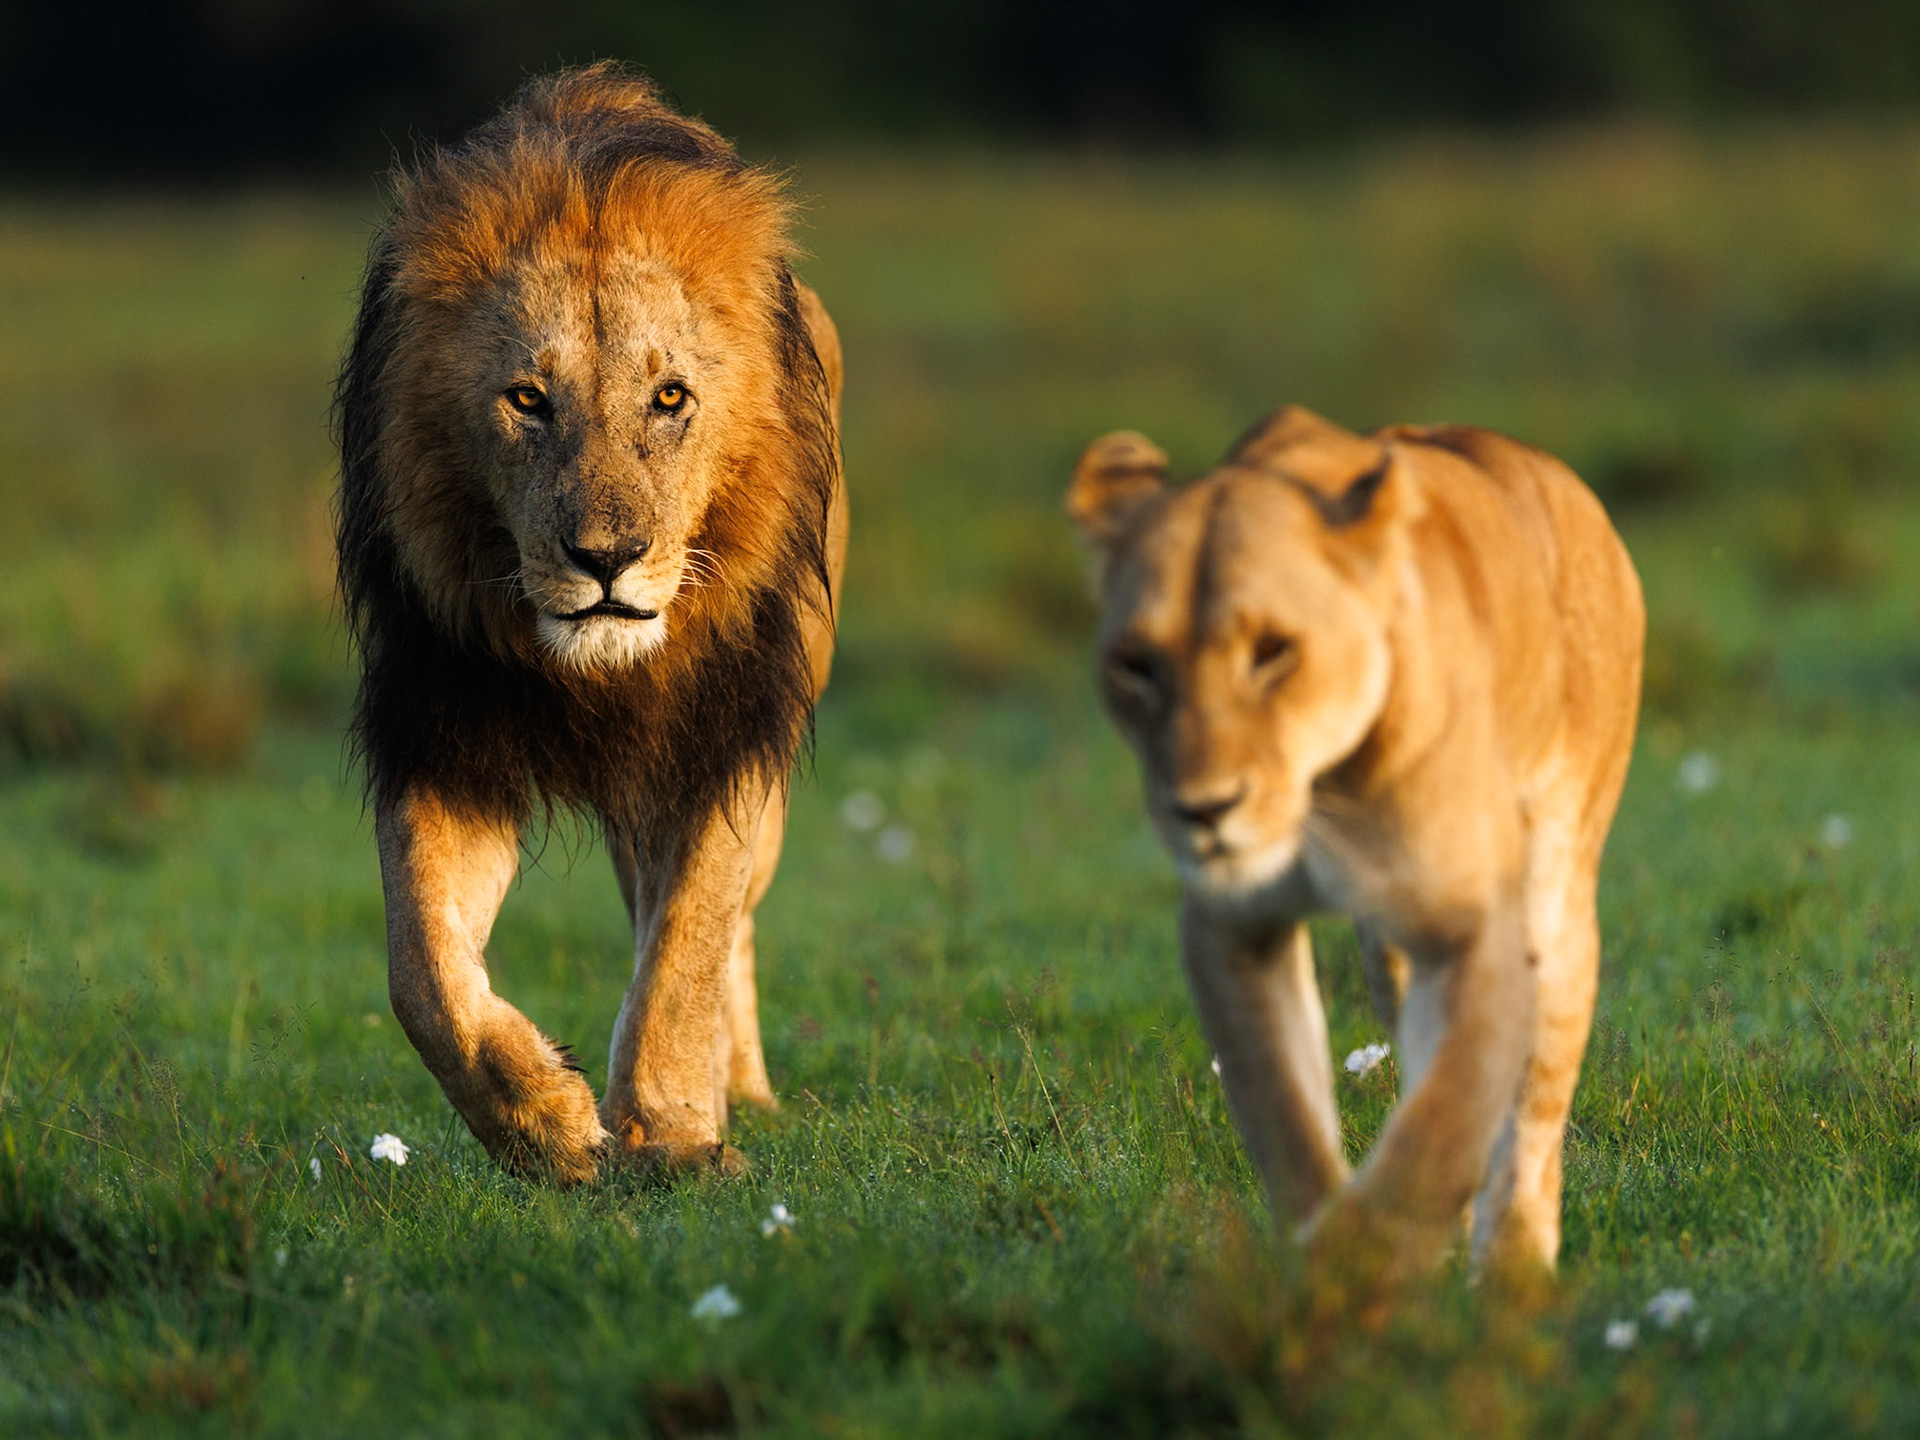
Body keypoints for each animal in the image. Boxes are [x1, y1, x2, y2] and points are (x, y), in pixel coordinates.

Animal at [334, 65, 847, 1184]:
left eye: (671, 397)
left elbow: (691, 938)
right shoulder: (446, 734)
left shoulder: (725, 729)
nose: (606, 561)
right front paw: (546, 1124)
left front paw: (669, 1132)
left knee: (723, 921)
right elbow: (421, 971)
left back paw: (739, 1092)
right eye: (528, 399)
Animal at [1068, 406, 1642, 1277]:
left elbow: (1442, 1126)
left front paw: (1354, 1276)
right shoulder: (1230, 929)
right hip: (1389, 955)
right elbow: (1287, 1119)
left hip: (1556, 904)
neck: (1320, 791)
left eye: (1273, 651)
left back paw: (1512, 1273)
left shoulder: (1475, 929)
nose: (1202, 809)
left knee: (1531, 1120)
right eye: (1137, 665)